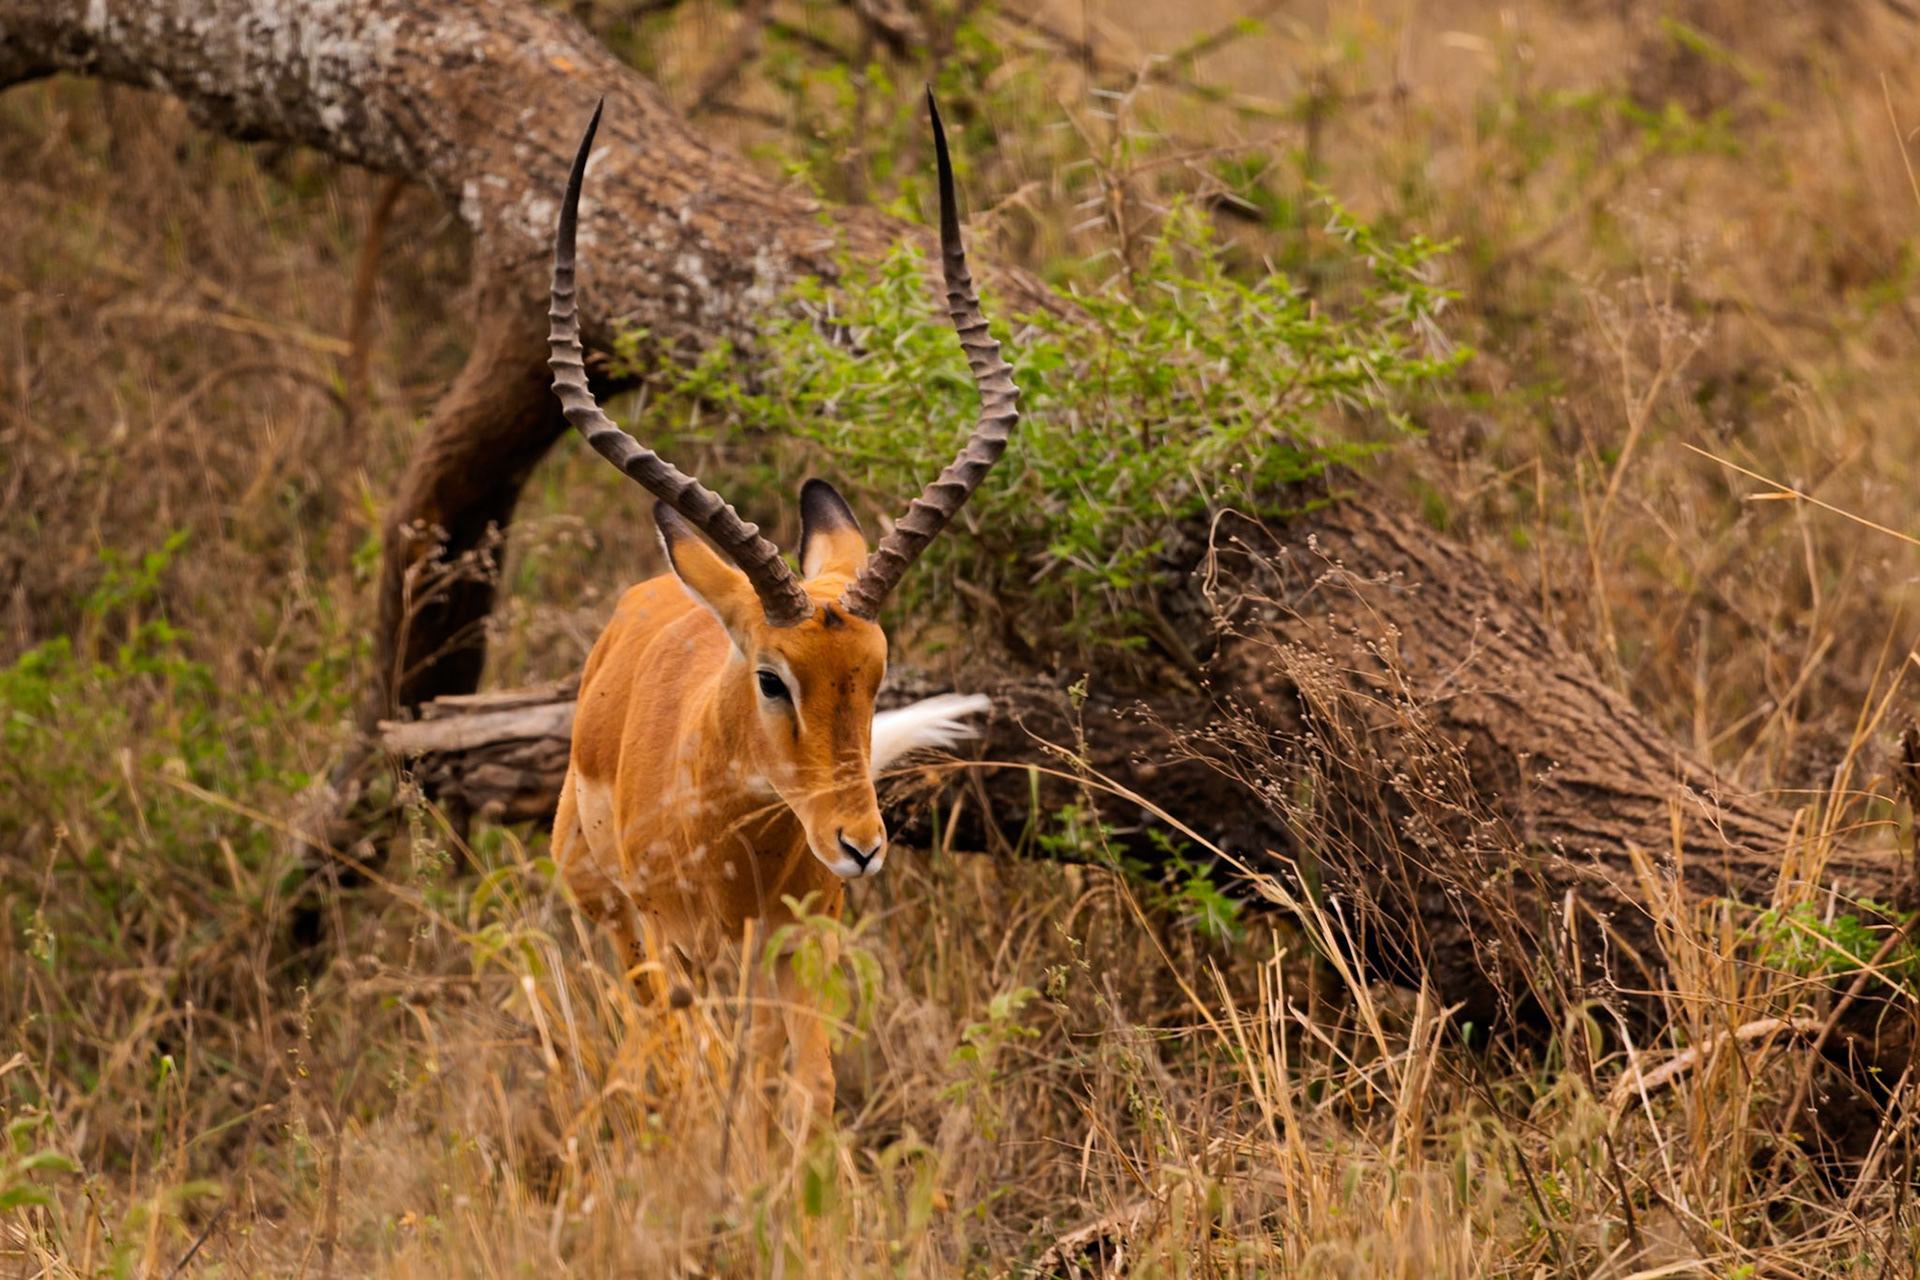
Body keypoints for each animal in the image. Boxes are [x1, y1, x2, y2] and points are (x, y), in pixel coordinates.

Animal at [546, 93, 1017, 1127]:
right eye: (773, 678)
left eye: (877, 677)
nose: (862, 847)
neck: (738, 836)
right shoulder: (674, 943)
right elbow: (703, 1084)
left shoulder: (802, 942)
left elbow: (804, 1094)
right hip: (620, 927)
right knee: (653, 1058)